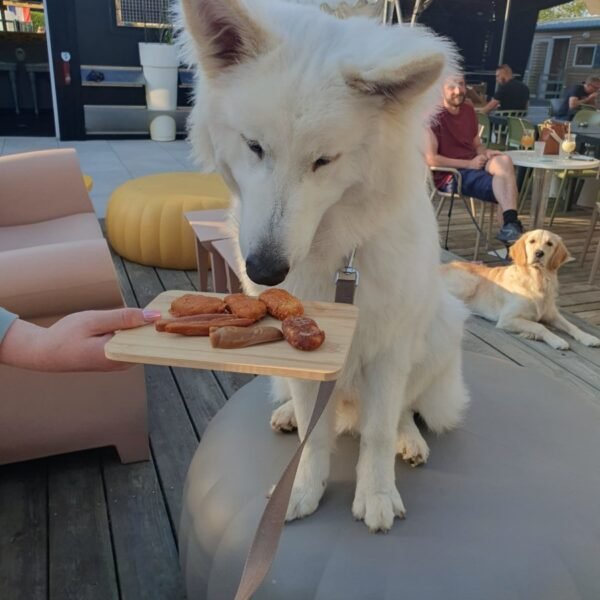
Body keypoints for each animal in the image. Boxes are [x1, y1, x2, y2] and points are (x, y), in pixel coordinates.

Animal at [180, 0, 472, 528]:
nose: (264, 272)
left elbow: (378, 431)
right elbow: (312, 436)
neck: (336, 252)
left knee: (403, 410)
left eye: (324, 161)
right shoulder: (306, 359)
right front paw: (301, 489)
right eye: (254, 146)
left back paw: (410, 439)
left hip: (440, 330)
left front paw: (376, 493)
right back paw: (289, 417)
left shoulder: (389, 349)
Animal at [440, 230, 600, 352]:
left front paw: (588, 337)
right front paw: (556, 340)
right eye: (532, 241)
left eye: (549, 244)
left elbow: (572, 326)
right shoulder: (507, 319)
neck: (537, 280)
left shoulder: (552, 314)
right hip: (470, 282)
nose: (539, 253)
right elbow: (539, 326)